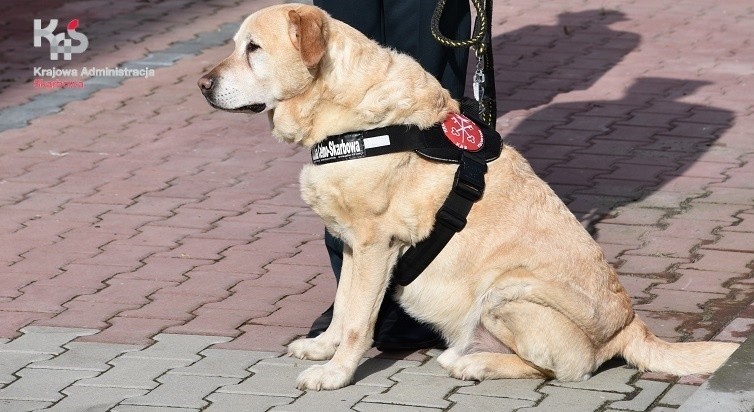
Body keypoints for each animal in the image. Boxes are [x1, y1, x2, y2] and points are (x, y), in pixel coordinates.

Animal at [197, 3, 736, 390]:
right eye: (236, 45)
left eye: (254, 48)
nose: (202, 85)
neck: (347, 114)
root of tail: (632, 326)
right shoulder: (352, 244)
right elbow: (344, 304)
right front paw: (322, 347)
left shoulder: (375, 244)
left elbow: (358, 321)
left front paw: (336, 373)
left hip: (508, 292)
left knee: (559, 370)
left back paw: (473, 366)